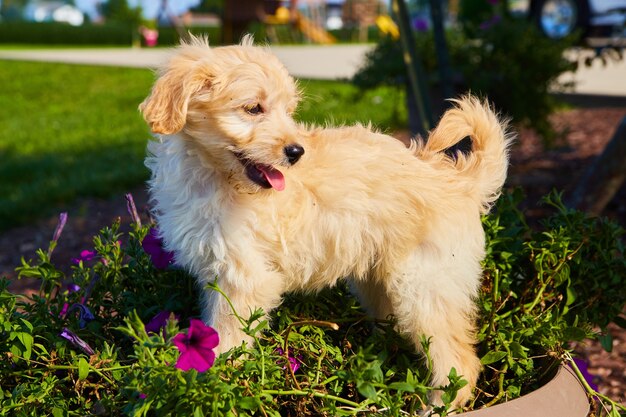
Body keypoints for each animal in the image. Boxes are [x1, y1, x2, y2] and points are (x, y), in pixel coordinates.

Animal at [139, 35, 510, 406]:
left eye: (288, 111)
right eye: (253, 108)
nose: (296, 152)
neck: (213, 176)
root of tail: (459, 181)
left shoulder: (245, 279)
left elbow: (227, 337)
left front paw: (213, 383)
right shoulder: (216, 271)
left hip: (424, 285)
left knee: (459, 361)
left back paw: (435, 406)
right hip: (381, 283)